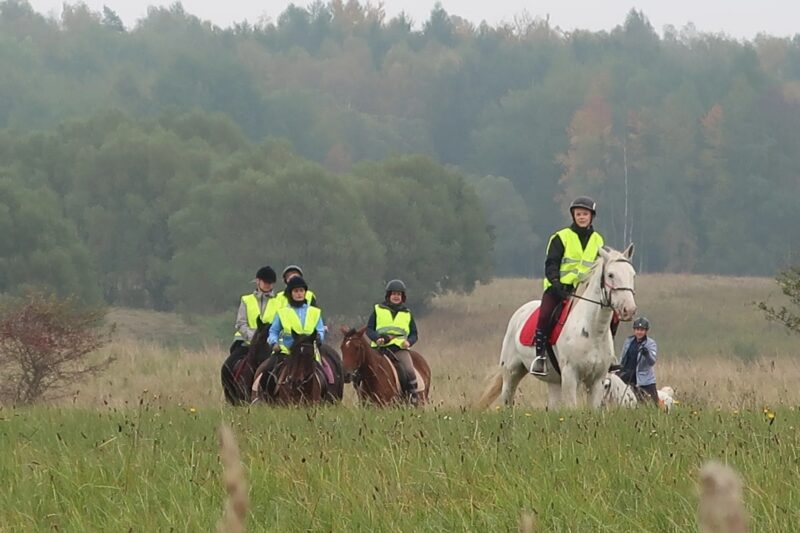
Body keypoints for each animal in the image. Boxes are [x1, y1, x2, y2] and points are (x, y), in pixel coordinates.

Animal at [476, 243, 636, 410]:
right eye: (611, 275)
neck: (593, 331)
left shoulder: (597, 381)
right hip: (511, 372)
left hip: (553, 381)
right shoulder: (570, 376)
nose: (629, 309)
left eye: (632, 274)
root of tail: (521, 311)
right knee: (507, 400)